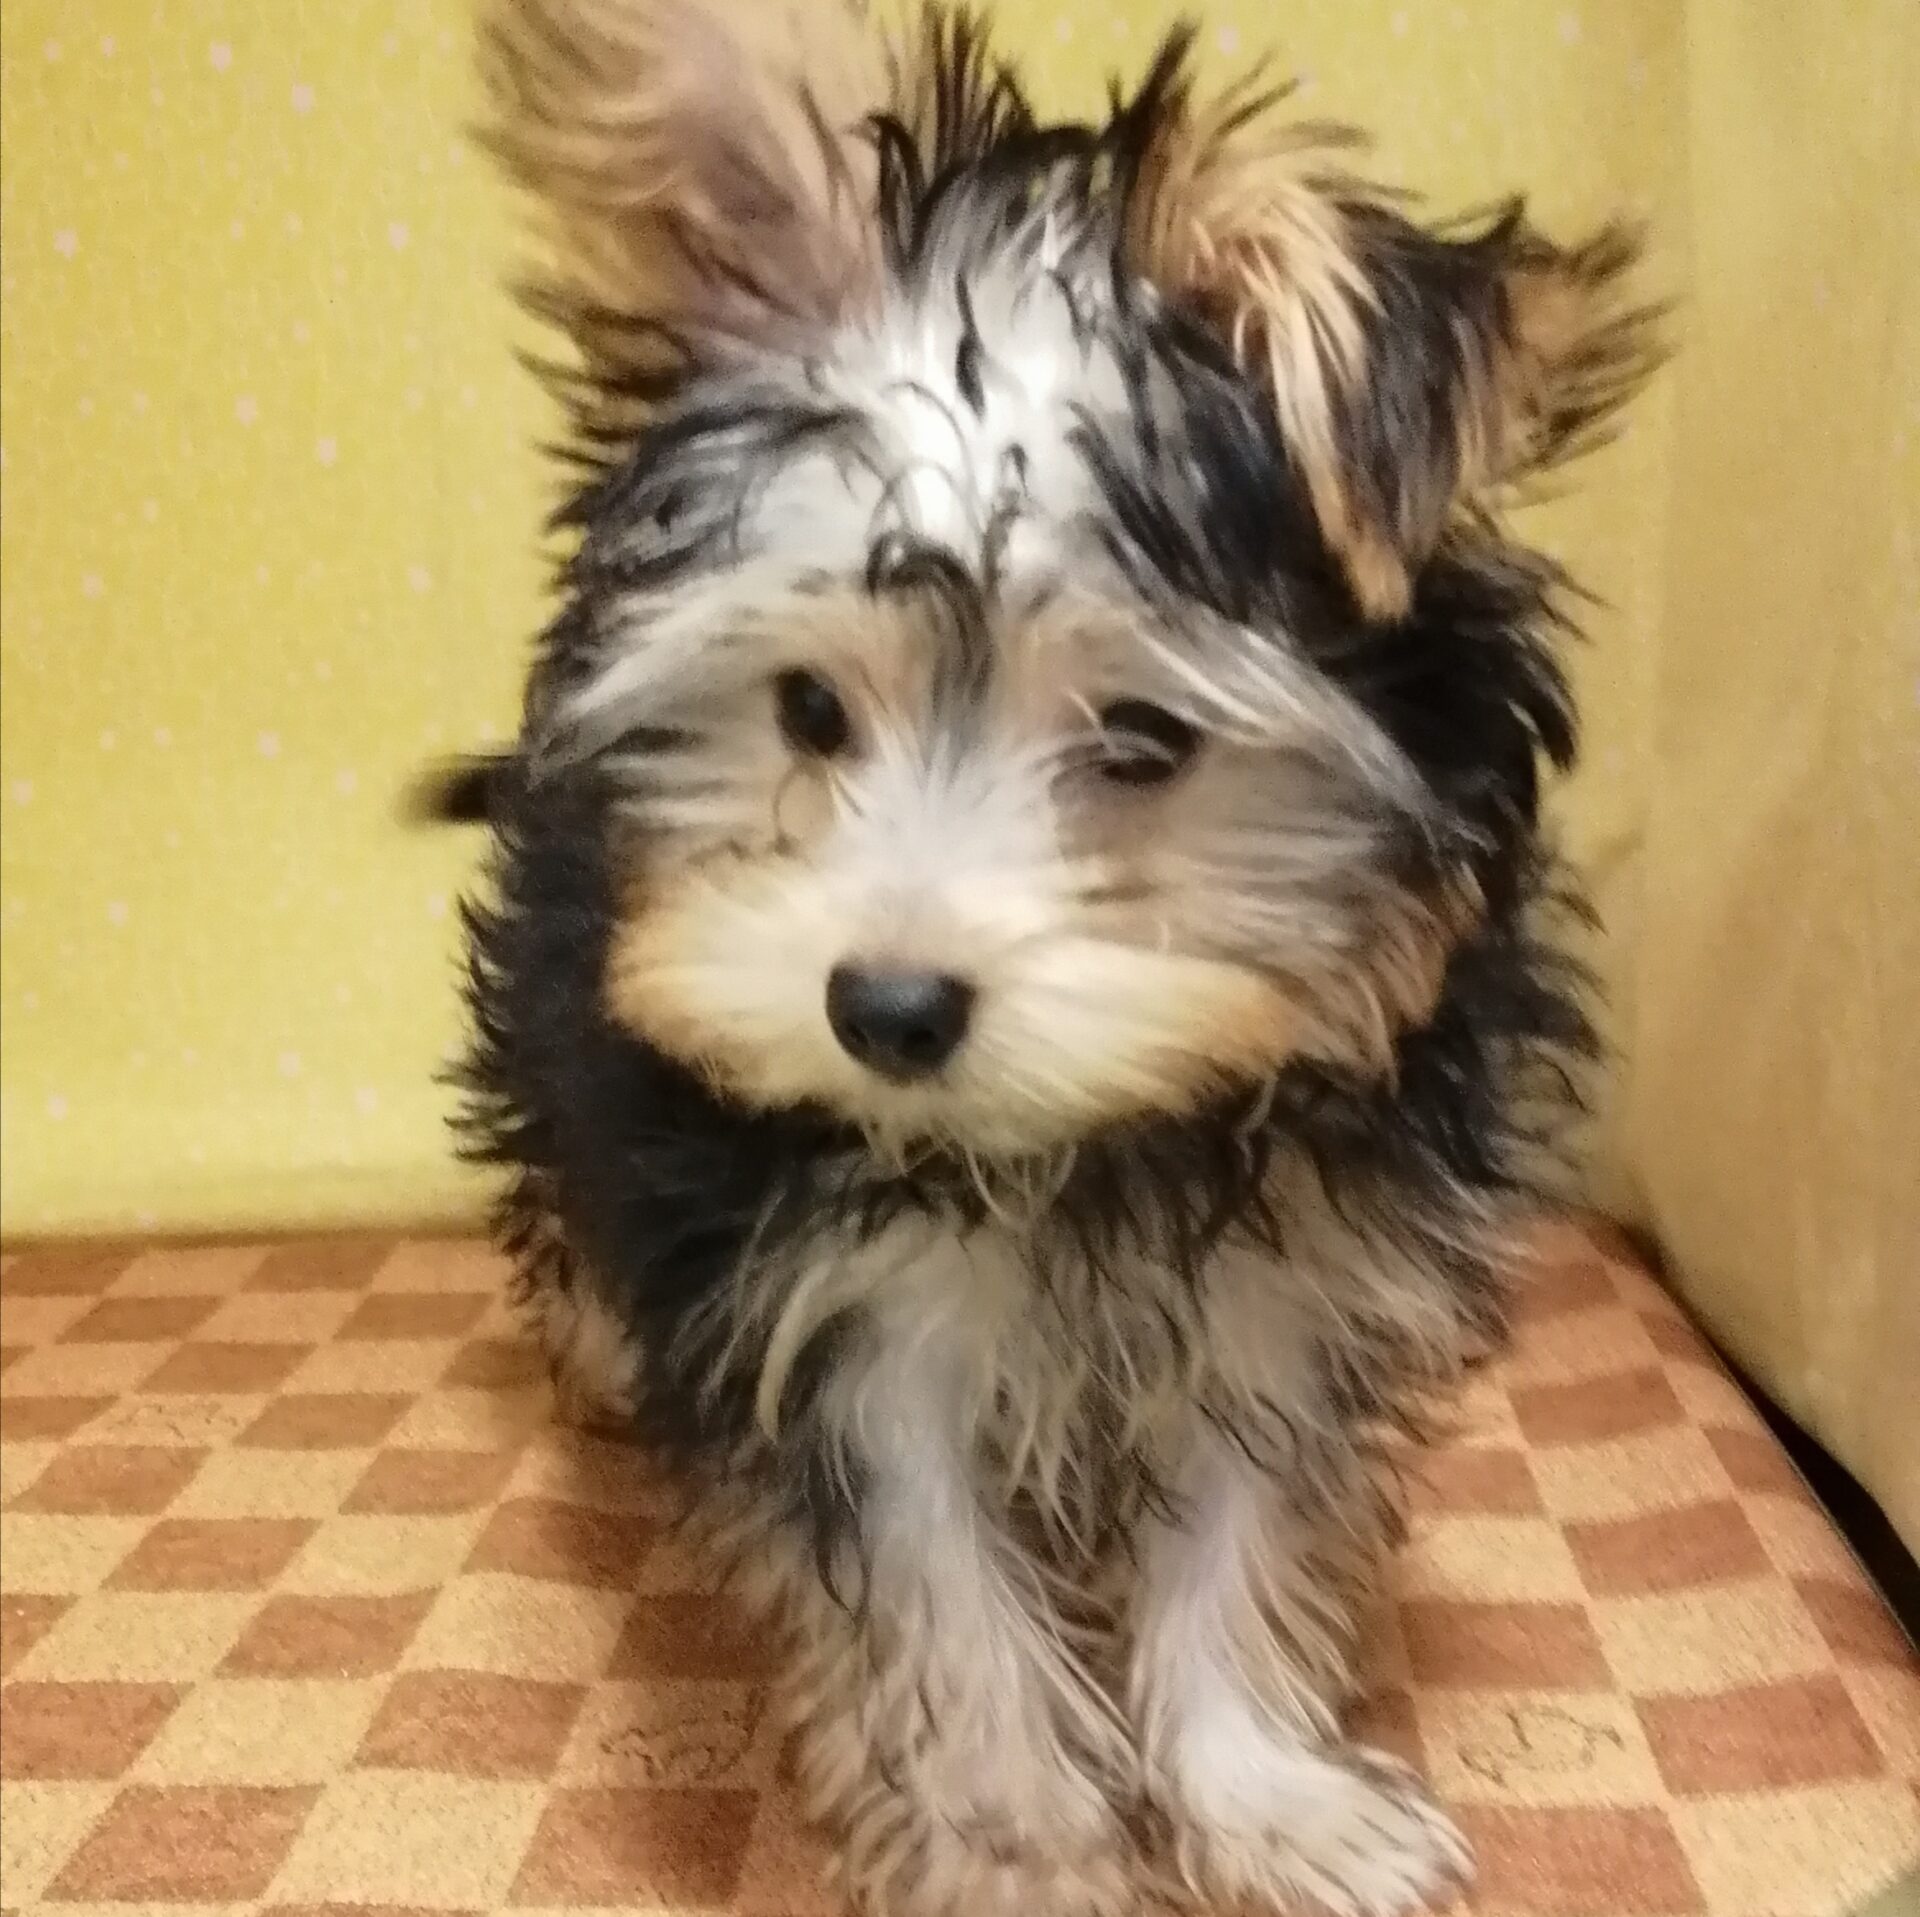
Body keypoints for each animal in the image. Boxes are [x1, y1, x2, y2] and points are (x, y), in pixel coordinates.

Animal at [446, 5, 1659, 1912]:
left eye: (1146, 739)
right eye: (808, 708)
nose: (879, 1007)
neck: (1081, 1140)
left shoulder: (1302, 1282)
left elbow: (1243, 1530)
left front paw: (1264, 1796)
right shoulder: (828, 1299)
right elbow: (935, 1584)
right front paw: (1014, 1835)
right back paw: (598, 1342)